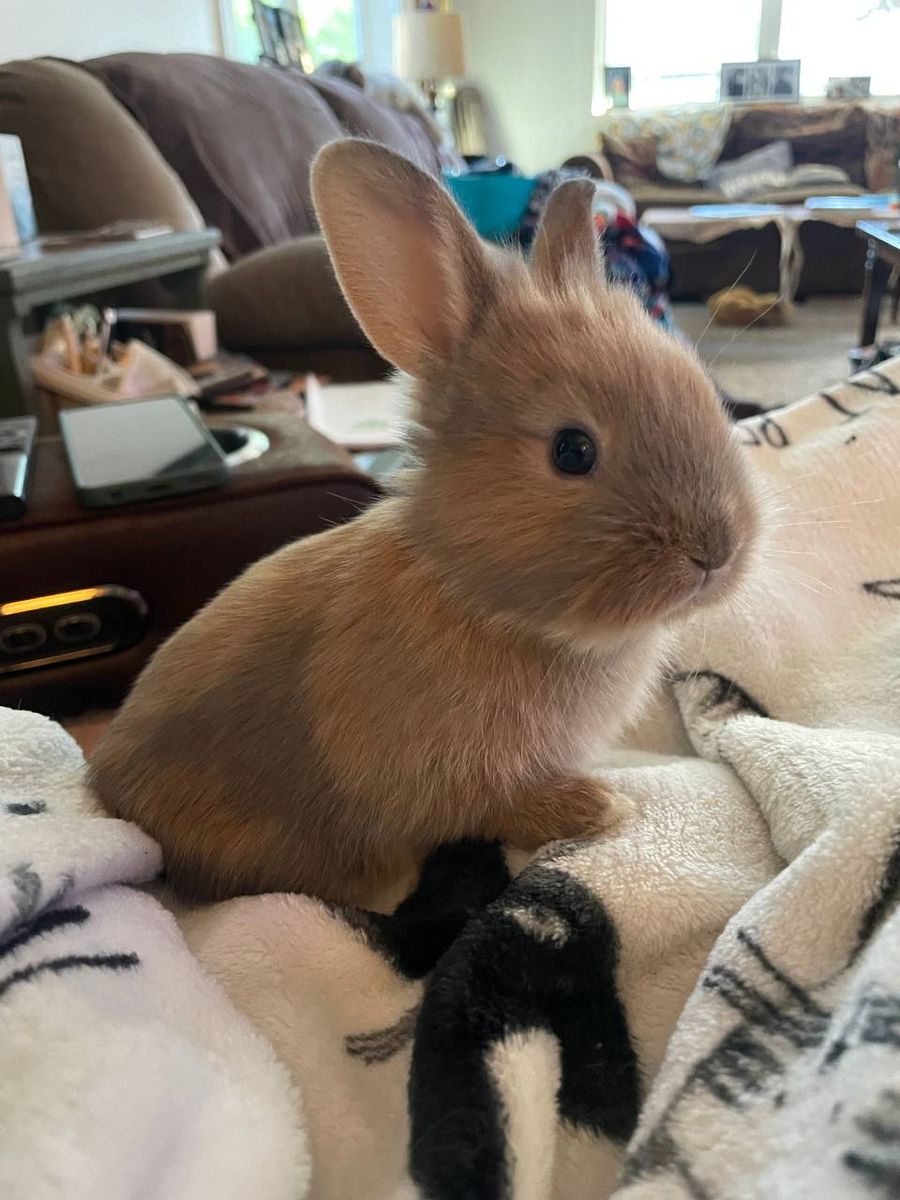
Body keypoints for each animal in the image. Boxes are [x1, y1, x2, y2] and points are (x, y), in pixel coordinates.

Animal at [89, 139, 759, 909]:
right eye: (572, 450)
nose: (716, 553)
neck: (474, 591)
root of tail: (105, 790)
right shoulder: (446, 775)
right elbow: (496, 807)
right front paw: (599, 807)